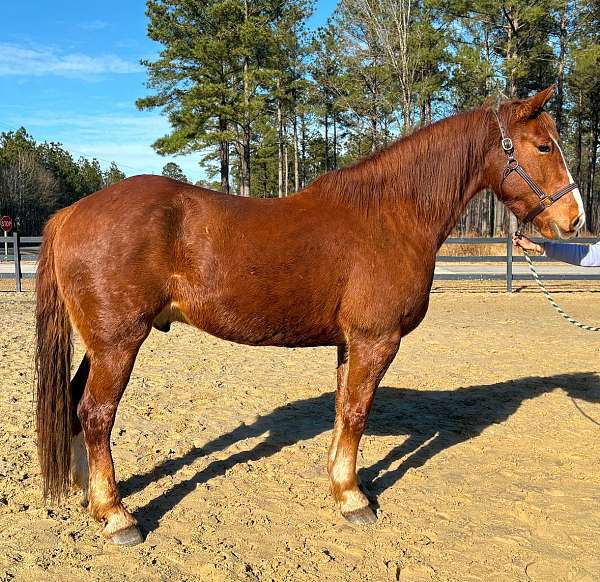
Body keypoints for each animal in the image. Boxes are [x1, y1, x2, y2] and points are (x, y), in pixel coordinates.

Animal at [35, 86, 584, 548]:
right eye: (542, 147)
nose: (574, 220)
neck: (391, 215)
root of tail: (72, 212)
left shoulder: (350, 343)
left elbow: (344, 410)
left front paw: (341, 486)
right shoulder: (376, 340)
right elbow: (358, 413)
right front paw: (354, 499)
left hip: (101, 343)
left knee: (76, 405)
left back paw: (90, 496)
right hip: (118, 342)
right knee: (97, 414)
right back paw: (116, 516)